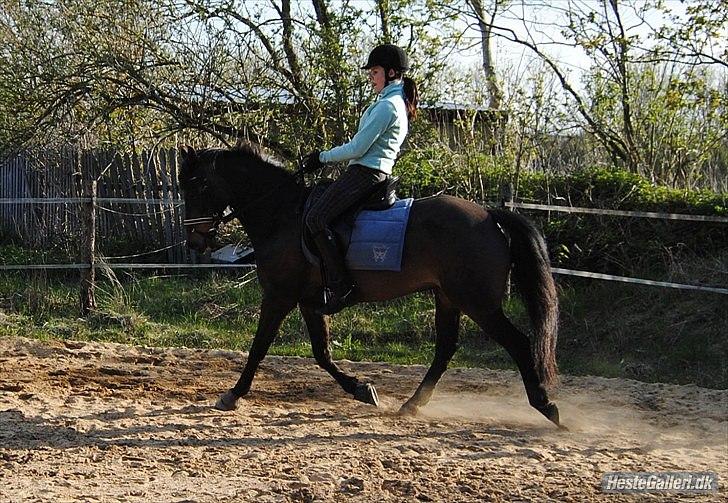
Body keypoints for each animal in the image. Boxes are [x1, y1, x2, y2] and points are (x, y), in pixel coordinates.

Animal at [178, 144, 564, 428]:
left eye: (197, 185)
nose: (195, 241)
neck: (281, 214)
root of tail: (490, 216)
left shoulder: (279, 295)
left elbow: (258, 348)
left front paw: (232, 394)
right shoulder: (309, 301)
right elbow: (321, 353)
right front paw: (362, 390)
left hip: (478, 303)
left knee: (519, 343)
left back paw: (547, 406)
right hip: (448, 298)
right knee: (445, 349)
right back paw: (411, 404)